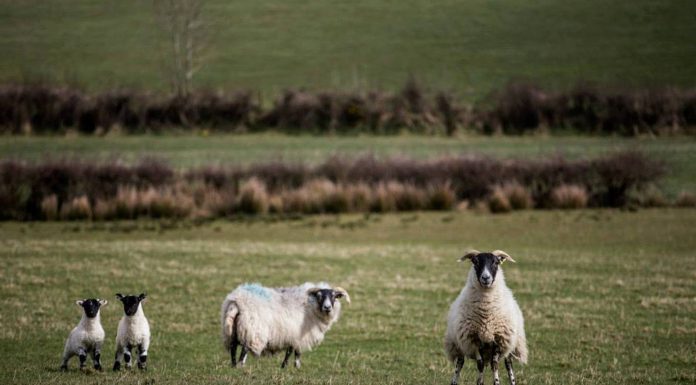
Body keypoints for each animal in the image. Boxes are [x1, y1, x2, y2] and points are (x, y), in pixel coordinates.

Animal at [222, 280, 350, 368]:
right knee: (244, 350)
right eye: (319, 296)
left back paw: (233, 366)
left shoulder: (292, 335)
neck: (311, 305)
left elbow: (290, 351)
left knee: (233, 349)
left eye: (334, 296)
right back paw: (240, 367)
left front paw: (286, 366)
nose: (327, 307)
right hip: (251, 331)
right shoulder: (298, 335)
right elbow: (296, 352)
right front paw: (295, 366)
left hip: (232, 332)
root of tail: (236, 301)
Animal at [446, 249, 528, 384]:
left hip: (509, 345)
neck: (486, 313)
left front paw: (496, 381)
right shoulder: (474, 339)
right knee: (460, 363)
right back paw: (454, 381)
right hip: (459, 344)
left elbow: (495, 364)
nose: (486, 278)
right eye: (475, 261)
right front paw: (480, 382)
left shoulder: (499, 340)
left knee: (508, 365)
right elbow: (479, 365)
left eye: (496, 262)